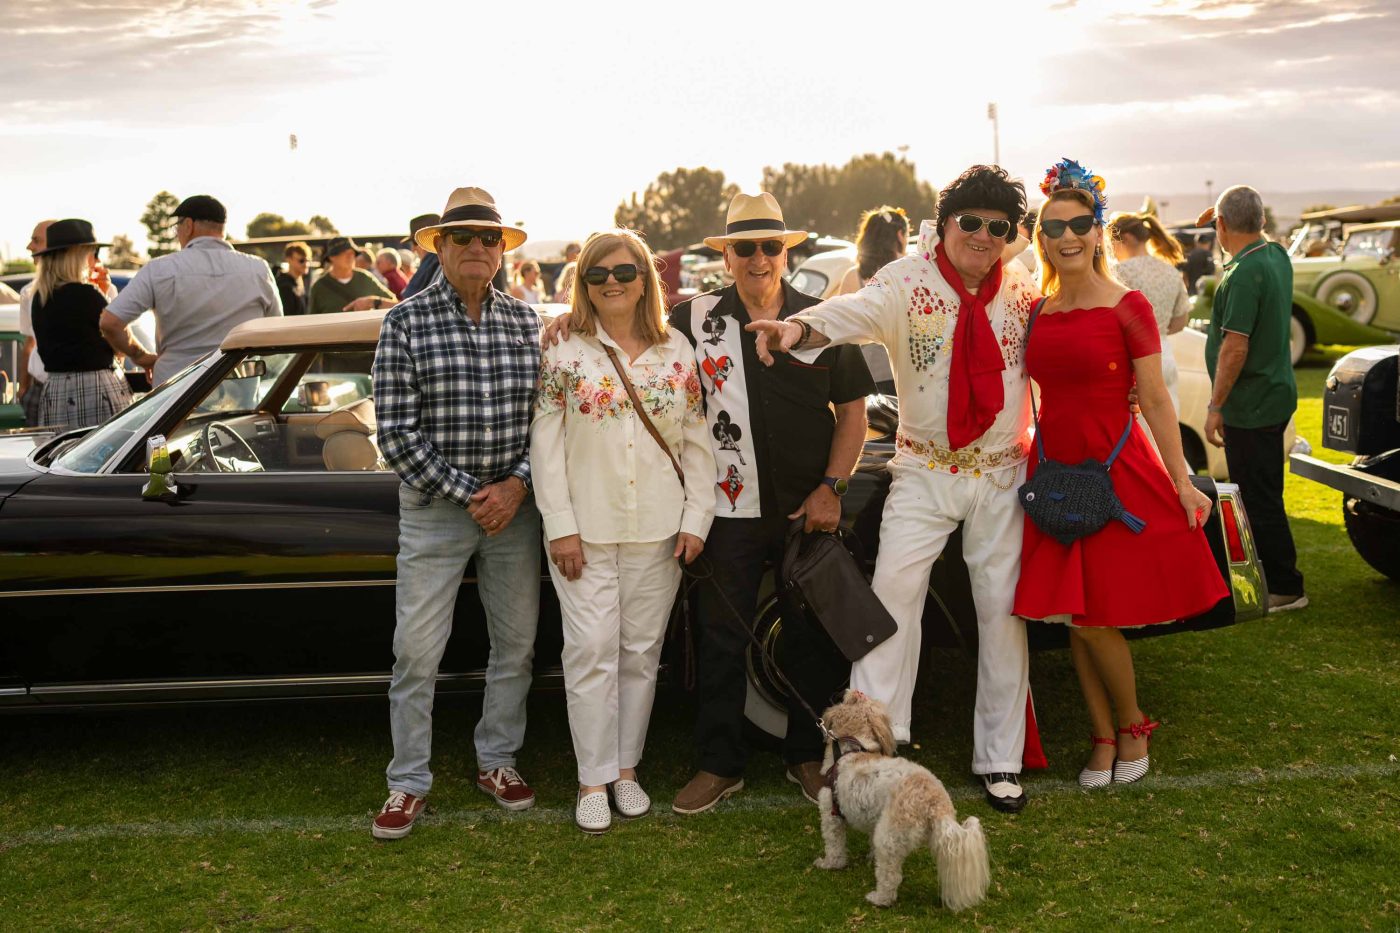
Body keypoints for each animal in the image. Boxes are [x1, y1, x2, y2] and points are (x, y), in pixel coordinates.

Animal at [812, 689, 990, 911]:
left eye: (845, 699)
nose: (849, 690)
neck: (852, 750)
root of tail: (936, 804)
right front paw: (870, 858)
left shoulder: (831, 814)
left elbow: (834, 846)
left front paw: (829, 864)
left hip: (889, 836)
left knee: (891, 877)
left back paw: (879, 898)